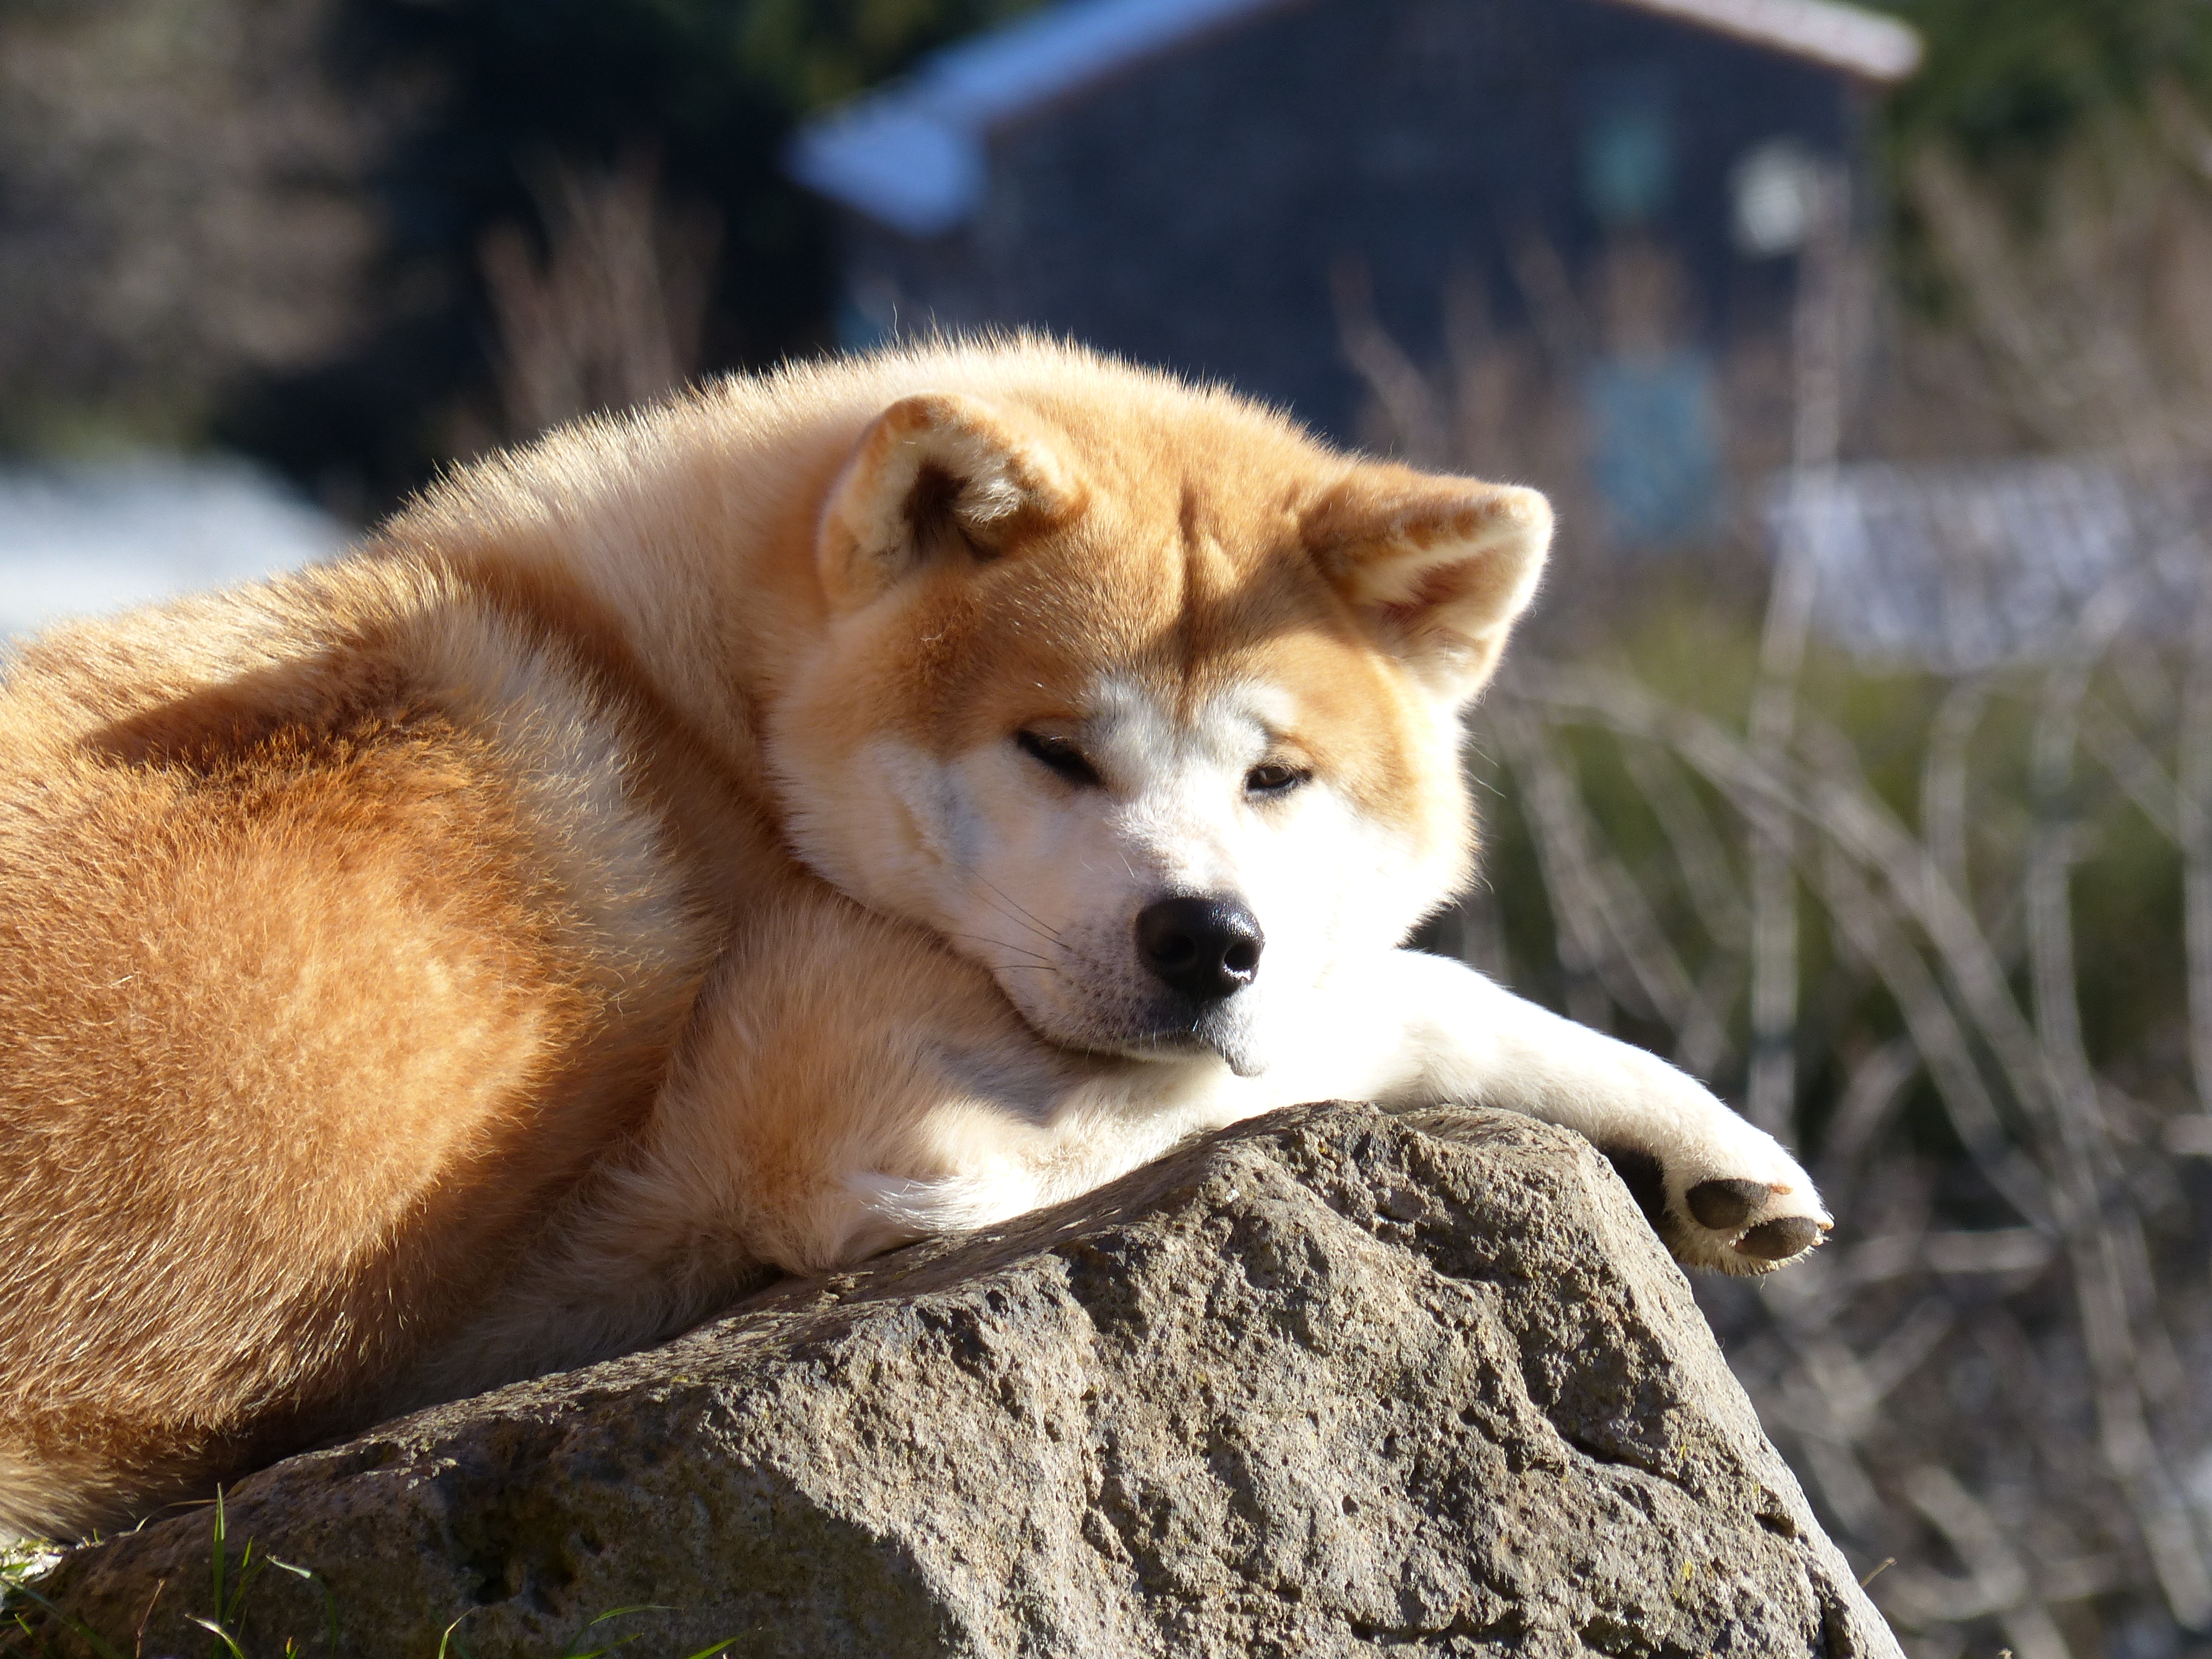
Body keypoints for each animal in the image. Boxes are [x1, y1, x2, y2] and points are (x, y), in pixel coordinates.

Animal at [0, 341, 1832, 1548]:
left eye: (1277, 776)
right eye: (1056, 750)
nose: (1207, 939)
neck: (711, 729)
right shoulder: (901, 1133)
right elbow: (1413, 989)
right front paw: (1700, 1132)